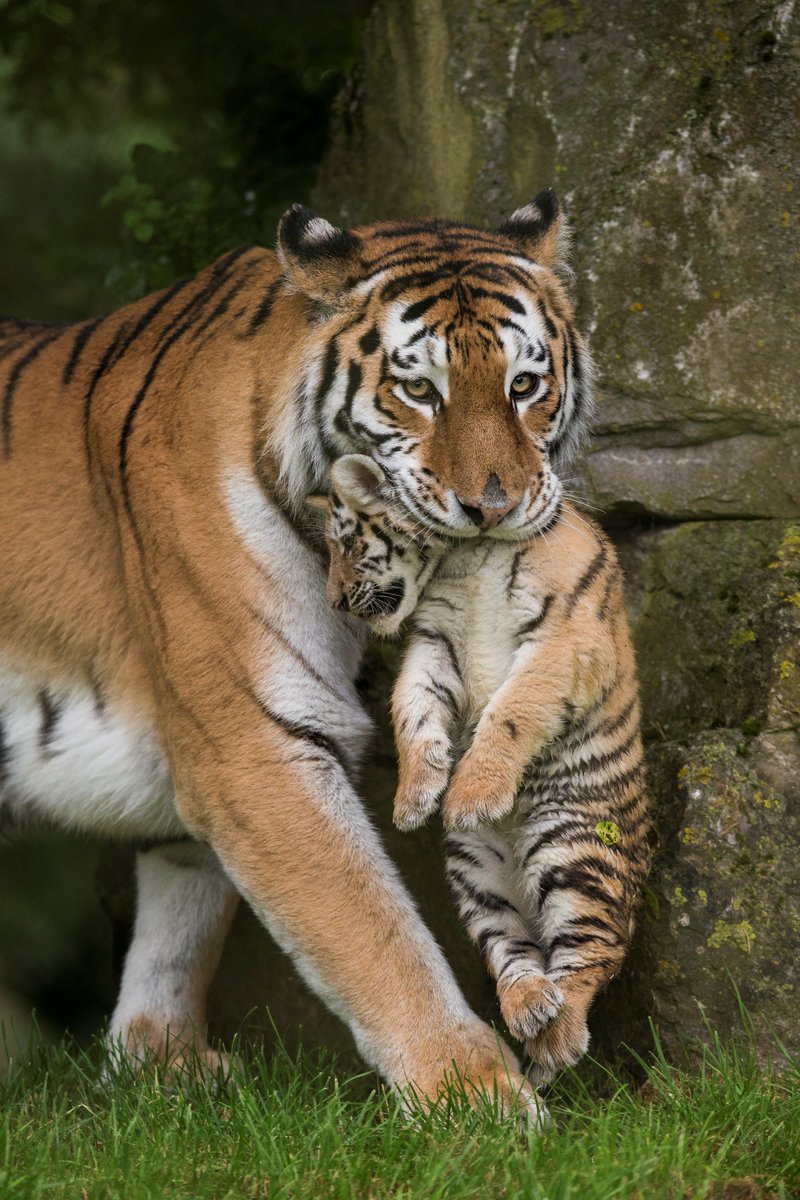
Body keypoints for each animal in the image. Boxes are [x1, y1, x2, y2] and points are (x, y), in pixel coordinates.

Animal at [0, 188, 592, 1122]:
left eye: (525, 385)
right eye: (419, 391)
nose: (493, 507)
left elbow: (182, 916)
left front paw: (158, 1065)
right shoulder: (255, 745)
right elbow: (369, 927)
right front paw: (476, 1098)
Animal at [321, 453, 650, 1081]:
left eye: (346, 544)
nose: (334, 602)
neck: (471, 552)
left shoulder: (564, 638)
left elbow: (513, 710)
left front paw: (471, 794)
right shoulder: (435, 642)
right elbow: (411, 707)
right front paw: (415, 798)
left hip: (572, 847)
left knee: (595, 951)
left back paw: (558, 1038)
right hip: (478, 875)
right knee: (514, 953)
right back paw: (530, 1009)